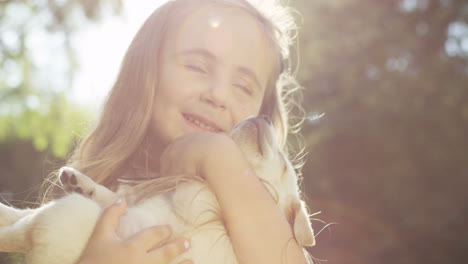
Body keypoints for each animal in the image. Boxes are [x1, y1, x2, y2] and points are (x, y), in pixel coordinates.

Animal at [0, 116, 316, 264]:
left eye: (284, 162)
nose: (264, 115)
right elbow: (115, 197)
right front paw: (83, 182)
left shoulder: (199, 201)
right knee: (21, 219)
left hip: (67, 215)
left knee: (21, 228)